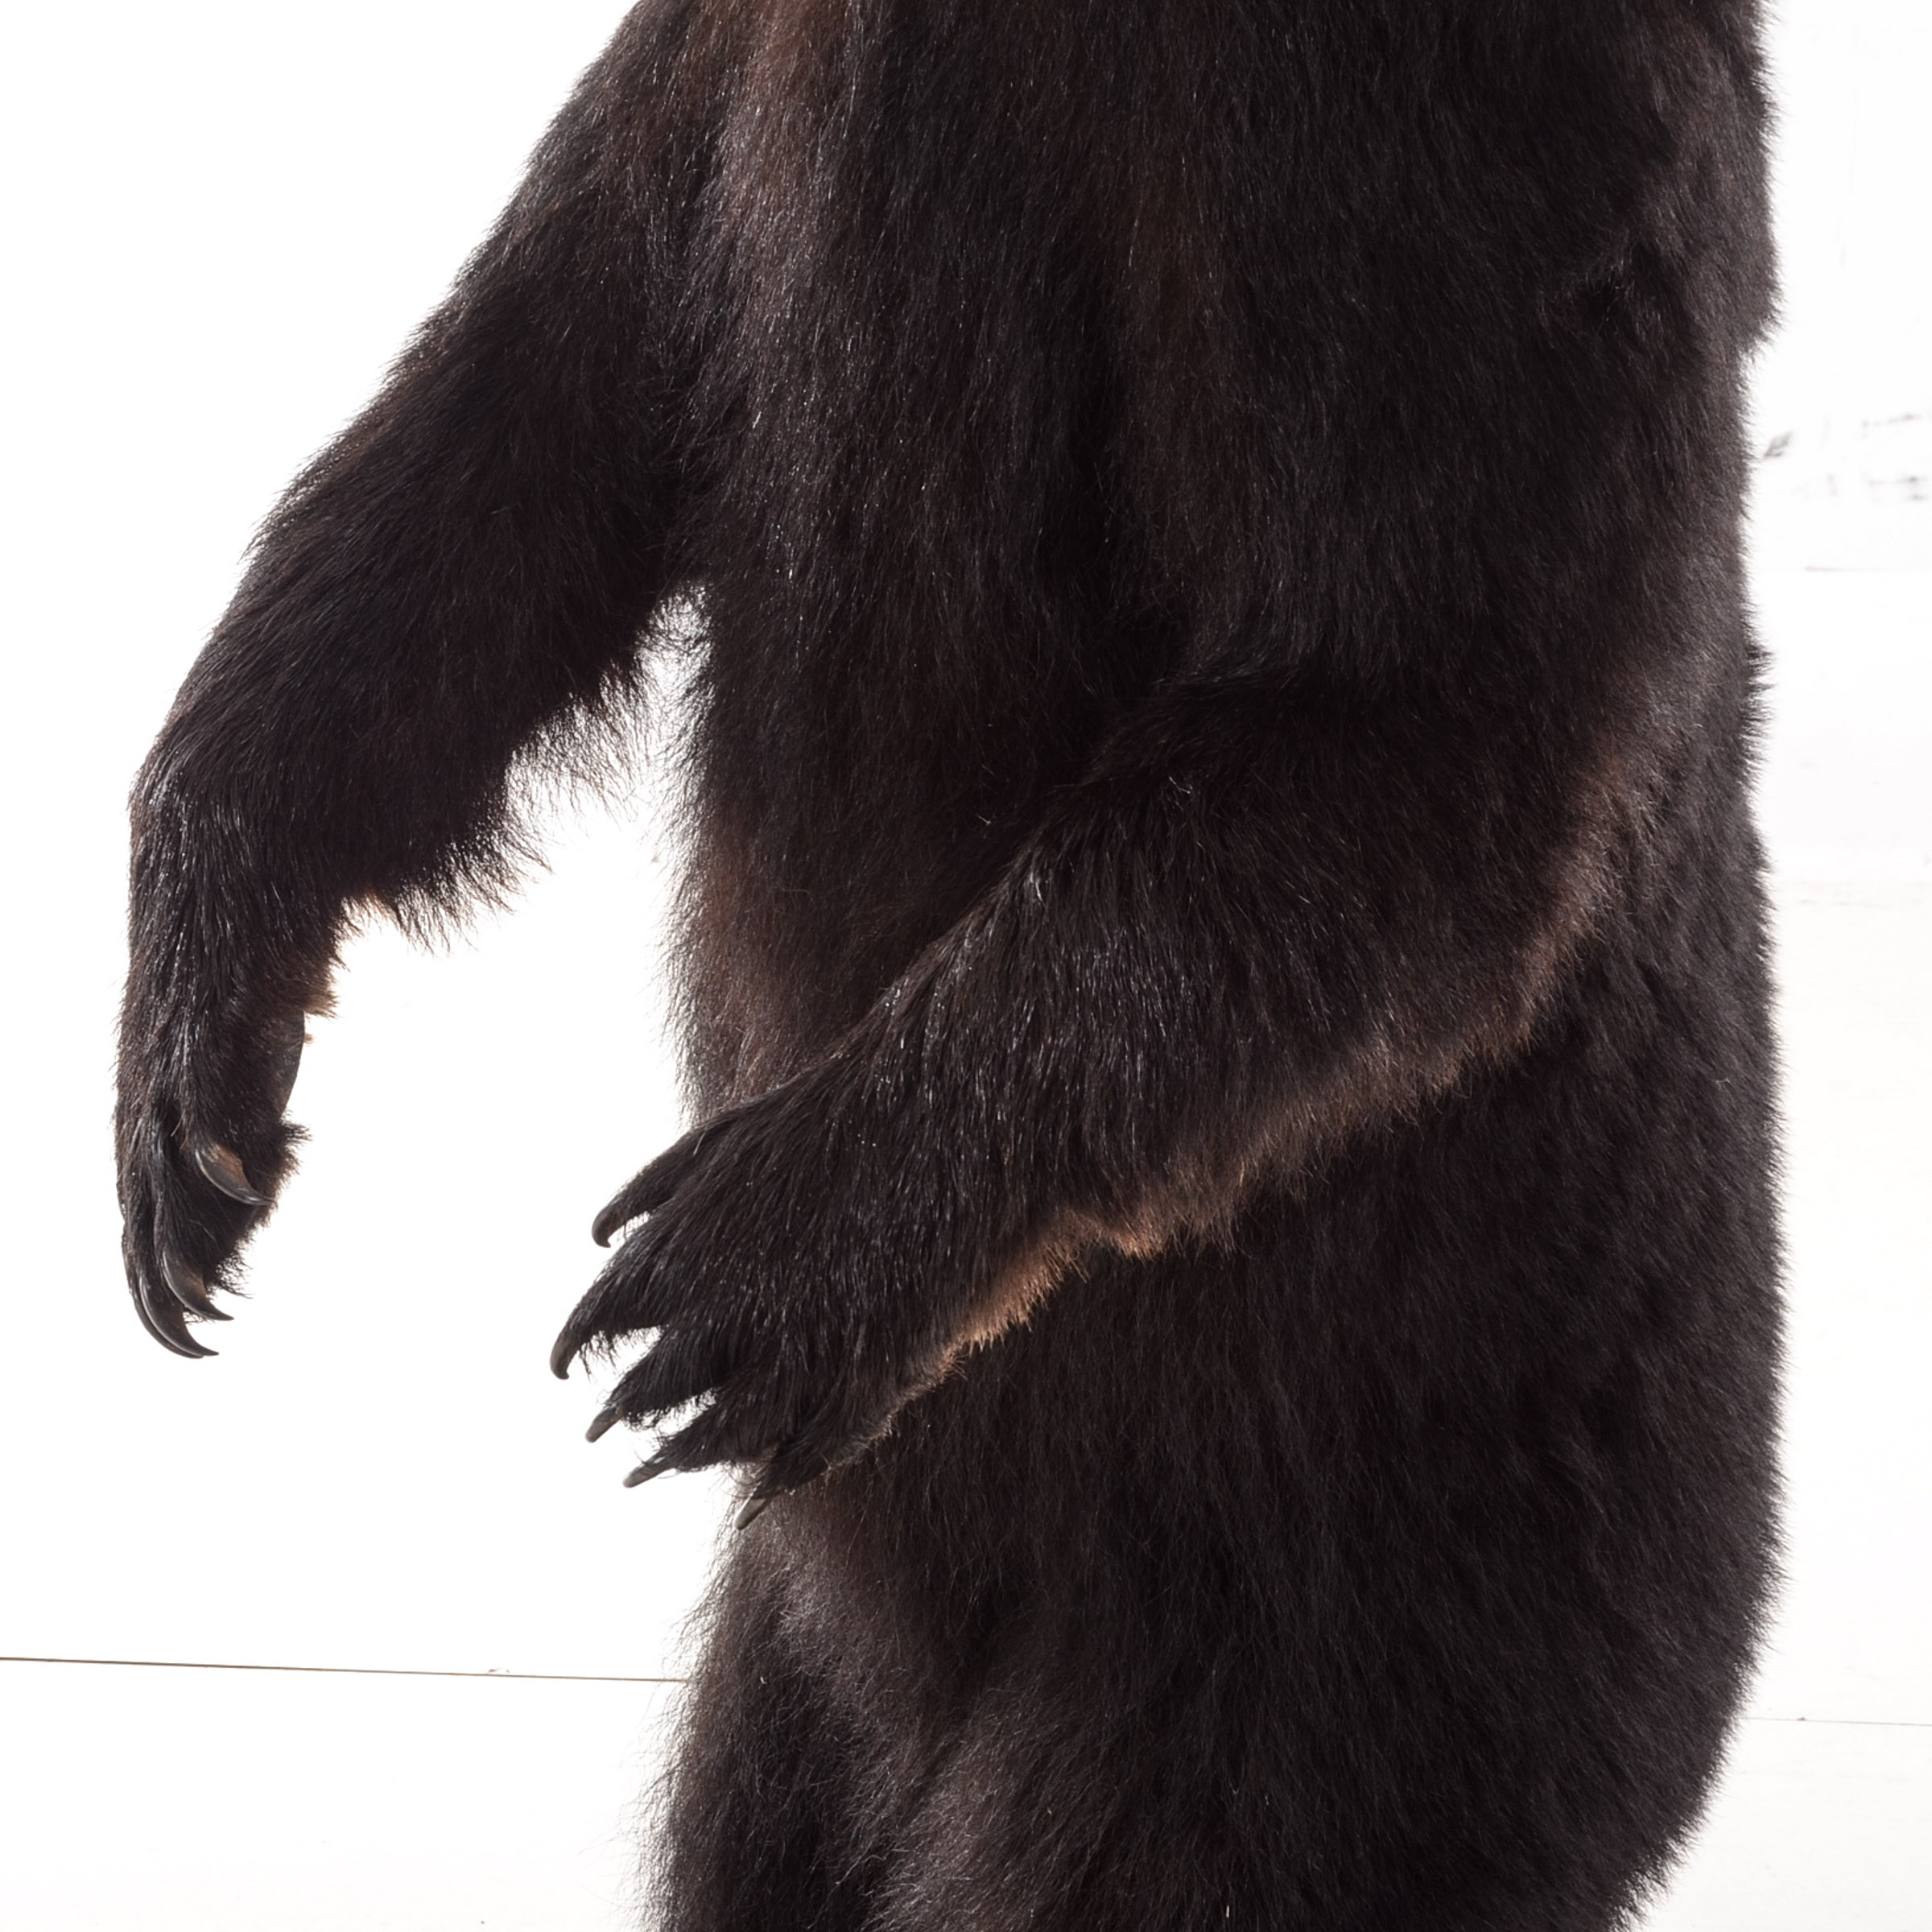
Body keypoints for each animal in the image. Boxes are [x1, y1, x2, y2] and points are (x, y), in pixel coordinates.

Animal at [116, 1, 1783, 1926]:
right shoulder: (715, 100)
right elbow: (541, 392)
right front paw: (196, 1095)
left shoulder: (1420, 122)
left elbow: (1406, 686)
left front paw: (750, 1257)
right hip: (802, 1664)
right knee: (759, 1827)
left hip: (1342, 1587)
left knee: (1178, 1845)